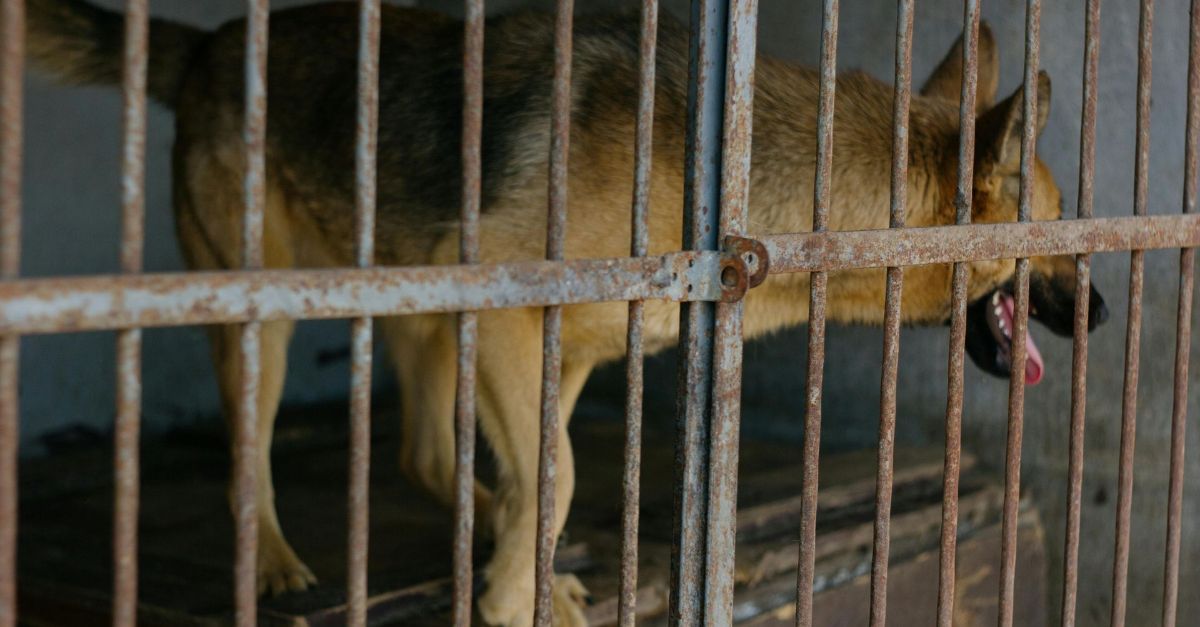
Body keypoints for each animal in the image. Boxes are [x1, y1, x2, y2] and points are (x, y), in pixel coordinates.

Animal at [23, 2, 1104, 619]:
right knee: (255, 455)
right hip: (267, 314)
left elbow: (545, 478)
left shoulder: (561, 349)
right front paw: (511, 600)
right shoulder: (513, 319)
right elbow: (560, 473)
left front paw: (521, 573)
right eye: (1055, 230)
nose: (1100, 308)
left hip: (431, 308)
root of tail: (208, 46)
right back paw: (280, 561)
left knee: (426, 454)